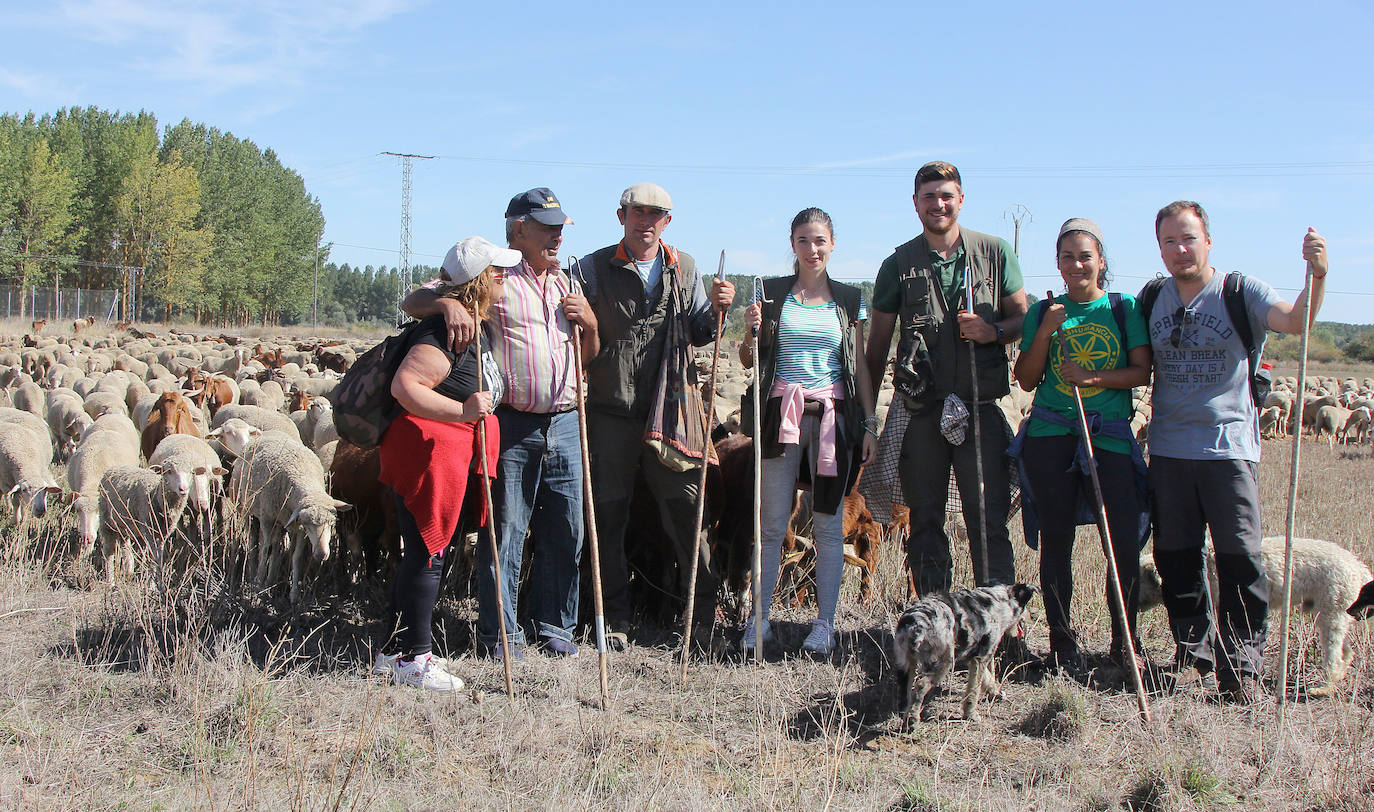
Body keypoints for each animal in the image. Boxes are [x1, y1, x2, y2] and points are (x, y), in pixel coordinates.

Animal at [229, 434, 348, 601]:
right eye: (310, 526)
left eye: (332, 523)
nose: (321, 554)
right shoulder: (267, 519)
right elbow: (264, 550)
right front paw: (258, 587)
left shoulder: (299, 528)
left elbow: (296, 557)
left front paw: (294, 594)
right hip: (245, 510)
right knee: (253, 543)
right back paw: (253, 575)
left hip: (280, 522)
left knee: (276, 547)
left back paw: (271, 580)